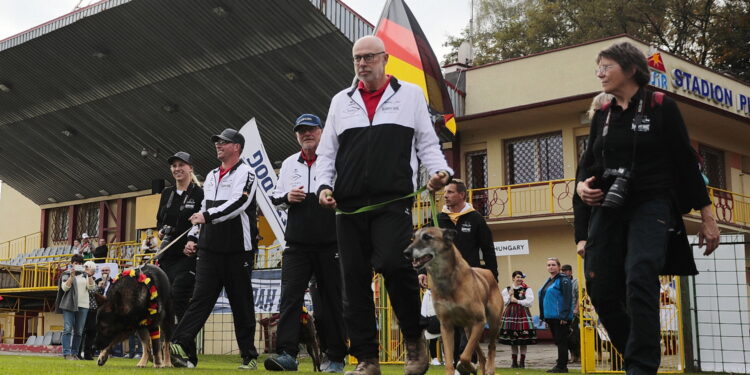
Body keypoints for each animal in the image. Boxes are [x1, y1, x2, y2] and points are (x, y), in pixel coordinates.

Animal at [406, 226, 506, 375]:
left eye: (427, 237)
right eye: (413, 238)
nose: (406, 252)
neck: (446, 278)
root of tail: (488, 272)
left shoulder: (479, 321)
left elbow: (464, 356)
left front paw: (468, 367)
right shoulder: (446, 326)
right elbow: (450, 361)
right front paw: (467, 368)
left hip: (492, 323)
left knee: (491, 347)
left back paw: (489, 369)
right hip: (469, 330)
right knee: (481, 355)